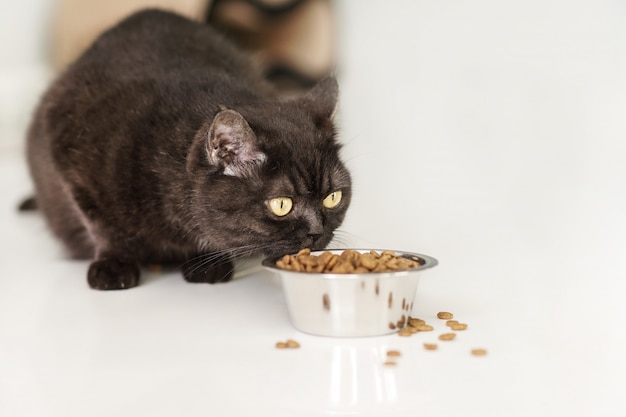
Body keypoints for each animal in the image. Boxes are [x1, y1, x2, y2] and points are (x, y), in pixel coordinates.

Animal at [25, 8, 352, 290]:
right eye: (281, 205)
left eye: (333, 198)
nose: (317, 231)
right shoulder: (70, 151)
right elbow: (103, 225)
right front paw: (114, 265)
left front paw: (205, 263)